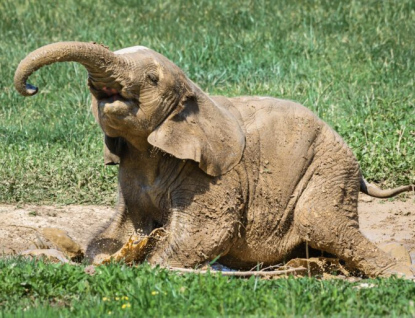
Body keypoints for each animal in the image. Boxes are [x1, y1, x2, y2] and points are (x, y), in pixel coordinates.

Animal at [14, 41, 414, 276]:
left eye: (151, 77)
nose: (32, 87)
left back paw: (395, 274)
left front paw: (149, 268)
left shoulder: (213, 175)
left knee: (324, 223)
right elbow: (122, 229)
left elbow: (208, 230)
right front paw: (106, 259)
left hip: (329, 170)